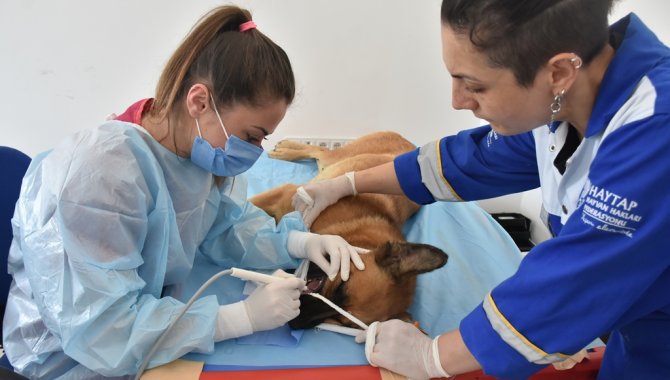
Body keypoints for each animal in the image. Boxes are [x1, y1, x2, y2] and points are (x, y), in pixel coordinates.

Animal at [249, 131, 448, 330]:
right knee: (321, 150)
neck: (352, 234)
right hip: (337, 158)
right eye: (340, 286)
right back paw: (287, 149)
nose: (293, 321)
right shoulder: (284, 195)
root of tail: (412, 144)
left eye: (341, 321)